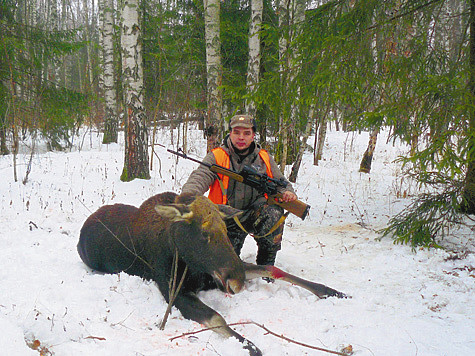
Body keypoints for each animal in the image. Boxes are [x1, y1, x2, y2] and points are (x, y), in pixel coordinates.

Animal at [78, 193, 346, 354]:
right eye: (205, 234)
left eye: (226, 232)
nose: (237, 282)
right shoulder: (173, 291)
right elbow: (218, 318)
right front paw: (250, 345)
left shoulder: (216, 276)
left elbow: (273, 269)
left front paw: (332, 291)